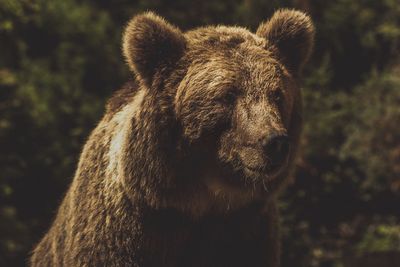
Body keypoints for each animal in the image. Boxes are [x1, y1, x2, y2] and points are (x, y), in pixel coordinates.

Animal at [30, 8, 312, 267]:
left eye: (277, 94)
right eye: (228, 94)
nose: (274, 141)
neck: (201, 201)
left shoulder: (248, 231)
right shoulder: (122, 233)